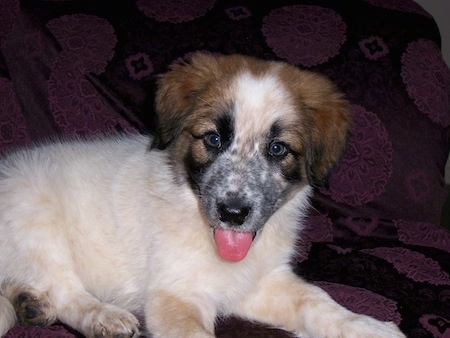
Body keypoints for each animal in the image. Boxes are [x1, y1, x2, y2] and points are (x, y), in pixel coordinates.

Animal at [0, 54, 404, 336]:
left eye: (277, 149)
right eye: (213, 139)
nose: (233, 213)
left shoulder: (261, 282)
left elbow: (316, 300)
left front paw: (365, 326)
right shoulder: (175, 295)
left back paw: (29, 303)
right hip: (36, 218)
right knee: (66, 291)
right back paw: (103, 316)